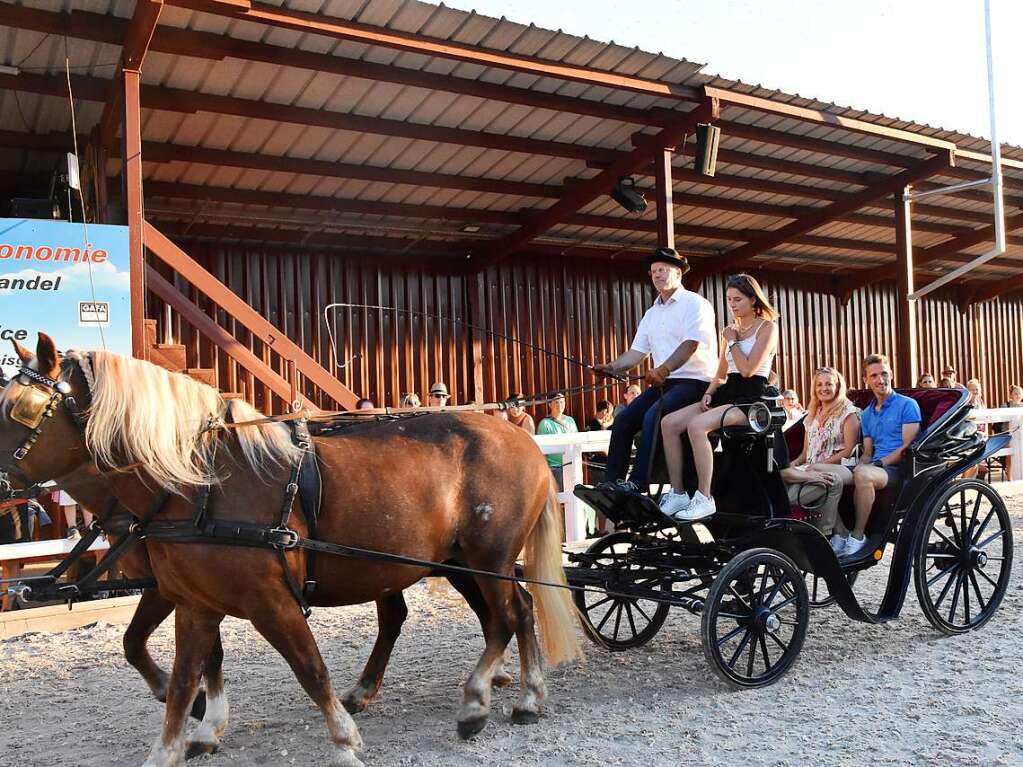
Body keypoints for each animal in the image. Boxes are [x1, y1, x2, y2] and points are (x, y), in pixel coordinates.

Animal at [0, 335, 576, 767]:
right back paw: (519, 692)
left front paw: (343, 739)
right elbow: (183, 674)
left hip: (486, 557)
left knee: (506, 614)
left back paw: (482, 700)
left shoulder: (267, 599)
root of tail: (521, 438)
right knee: (509, 610)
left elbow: (308, 667)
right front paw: (179, 738)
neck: (201, 485)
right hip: (456, 560)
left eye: (22, 411)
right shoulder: (194, 602)